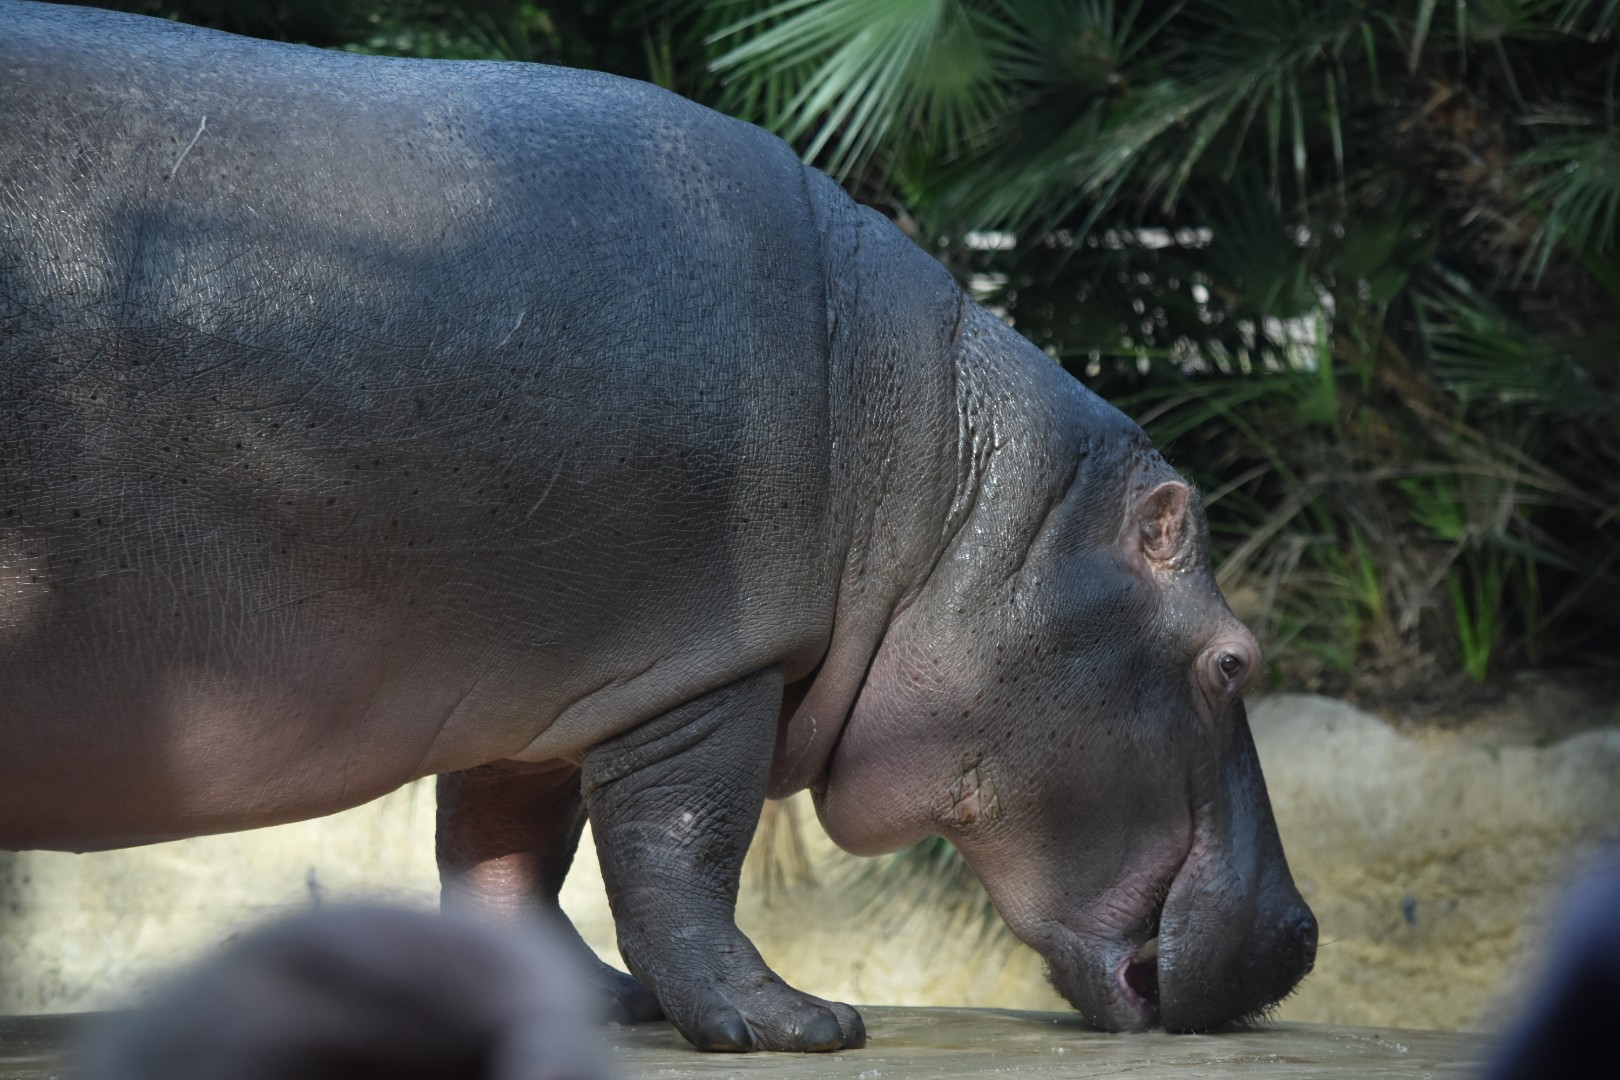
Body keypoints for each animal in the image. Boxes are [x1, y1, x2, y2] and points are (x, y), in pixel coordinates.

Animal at [0, 0, 1316, 1052]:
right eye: (1234, 660)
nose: (1304, 936)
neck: (957, 503)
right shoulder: (704, 660)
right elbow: (682, 846)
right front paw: (798, 1026)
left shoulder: (540, 682)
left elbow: (506, 851)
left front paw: (591, 1002)